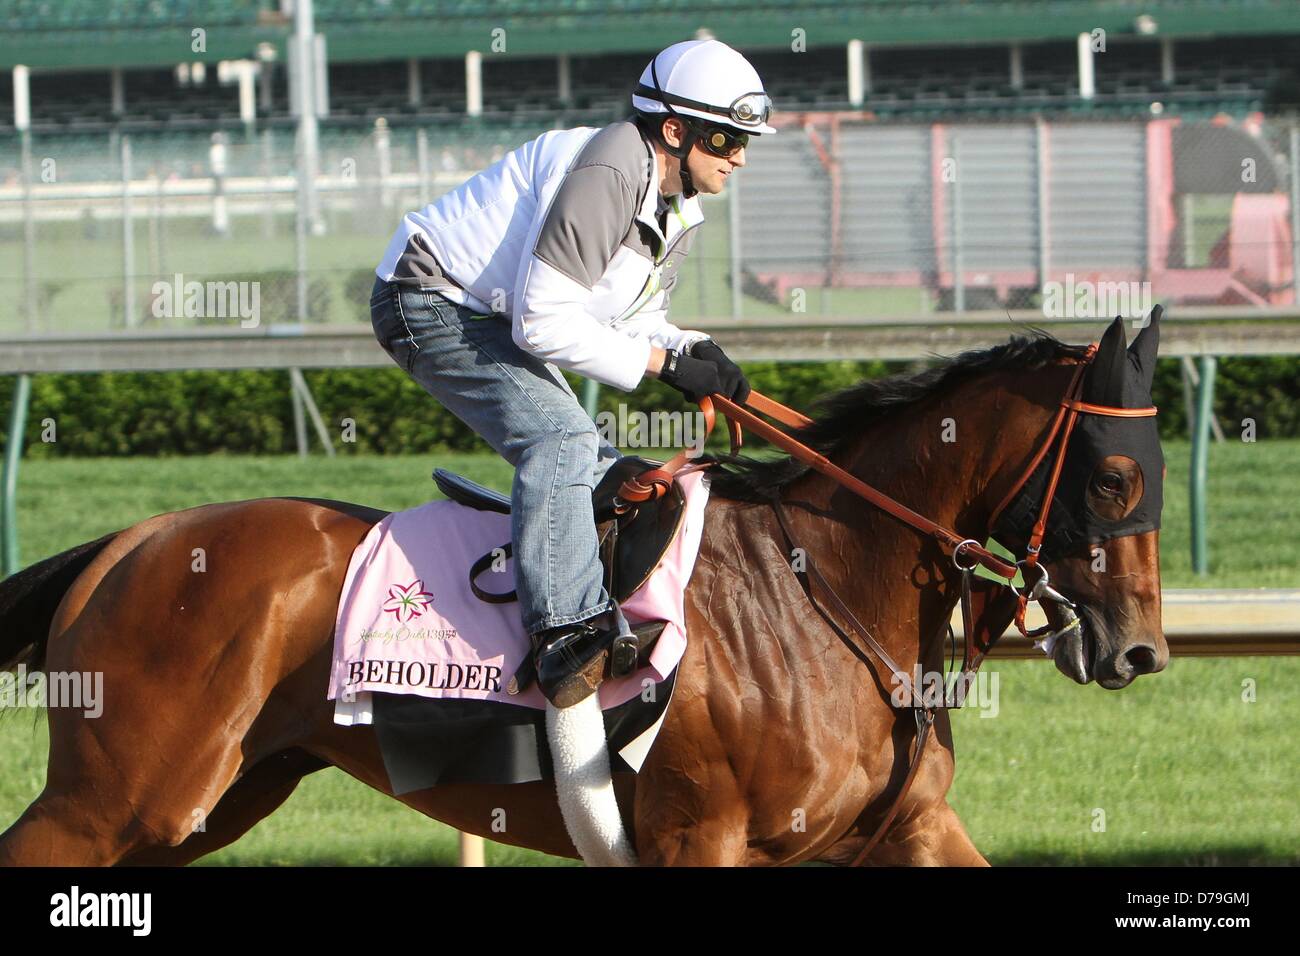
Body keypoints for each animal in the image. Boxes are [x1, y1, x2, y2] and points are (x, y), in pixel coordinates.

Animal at [0, 319, 1170, 868]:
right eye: (1114, 477)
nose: (1139, 651)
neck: (822, 588)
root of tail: (124, 544)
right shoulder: (703, 838)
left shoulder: (906, 826)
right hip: (118, 797)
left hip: (211, 802)